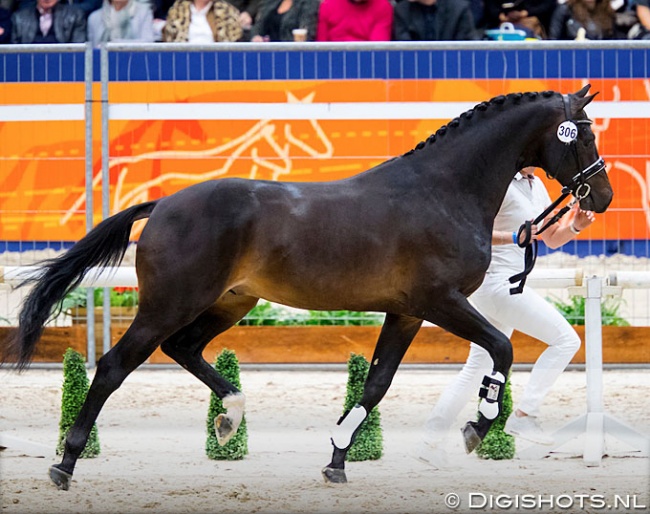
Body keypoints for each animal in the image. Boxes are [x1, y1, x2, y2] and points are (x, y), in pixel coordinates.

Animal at [2, 84, 612, 484]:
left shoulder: (408, 311)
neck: (443, 190)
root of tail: (166, 203)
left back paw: (230, 416)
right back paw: (65, 463)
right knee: (112, 367)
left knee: (184, 348)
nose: (601, 198)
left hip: (230, 301)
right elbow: (503, 349)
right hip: (168, 303)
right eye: (582, 136)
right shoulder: (441, 301)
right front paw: (478, 427)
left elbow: (376, 384)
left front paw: (338, 459)